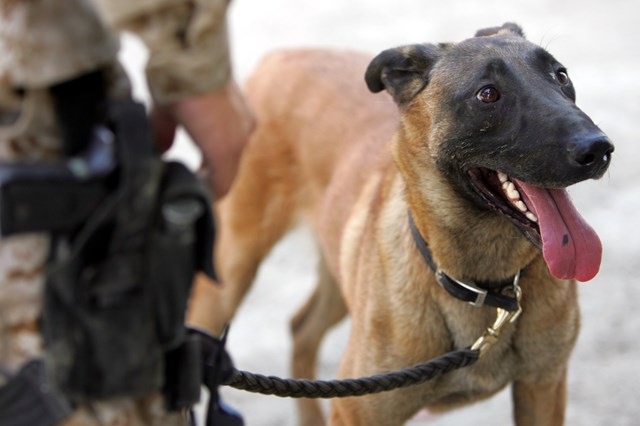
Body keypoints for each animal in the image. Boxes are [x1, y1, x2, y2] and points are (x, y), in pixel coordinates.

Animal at [186, 24, 616, 426]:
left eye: (561, 75)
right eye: (488, 94)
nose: (599, 149)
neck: (482, 287)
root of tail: (282, 56)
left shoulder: (542, 386)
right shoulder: (360, 409)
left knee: (302, 327)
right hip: (232, 270)